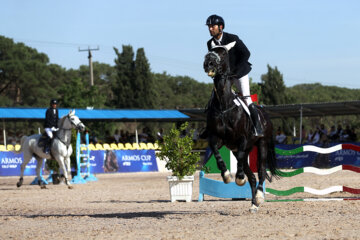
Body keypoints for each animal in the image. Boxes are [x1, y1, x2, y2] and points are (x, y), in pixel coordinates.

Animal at [202, 40, 278, 212]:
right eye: (208, 52)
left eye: (224, 53)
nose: (208, 63)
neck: (224, 105)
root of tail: (265, 116)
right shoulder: (217, 138)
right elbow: (216, 152)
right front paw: (226, 175)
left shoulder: (242, 139)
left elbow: (243, 160)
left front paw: (239, 178)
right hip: (238, 150)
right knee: (251, 176)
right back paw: (254, 204)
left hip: (262, 144)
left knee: (260, 171)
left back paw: (259, 197)